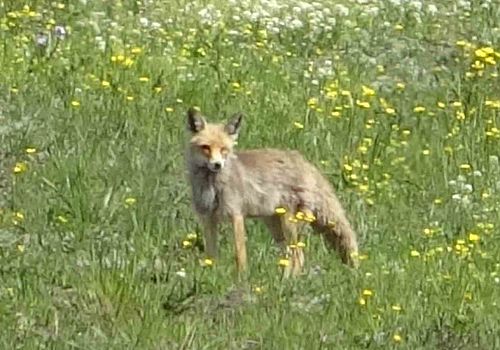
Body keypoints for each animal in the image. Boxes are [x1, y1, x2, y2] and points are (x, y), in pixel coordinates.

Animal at [186, 106, 358, 276]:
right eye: (206, 148)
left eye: (224, 150)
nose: (217, 165)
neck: (211, 186)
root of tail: (307, 164)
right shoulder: (208, 218)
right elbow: (211, 255)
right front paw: (210, 275)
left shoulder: (236, 215)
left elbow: (240, 256)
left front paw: (241, 278)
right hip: (275, 226)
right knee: (290, 255)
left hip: (289, 224)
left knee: (297, 256)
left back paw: (288, 280)